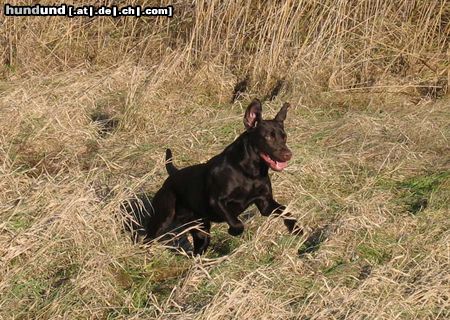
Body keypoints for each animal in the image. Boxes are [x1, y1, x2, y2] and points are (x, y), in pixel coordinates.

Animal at [123, 100, 300, 255]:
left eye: (284, 137)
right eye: (268, 137)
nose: (288, 154)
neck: (250, 173)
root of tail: (172, 175)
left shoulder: (265, 203)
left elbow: (286, 211)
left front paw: (296, 228)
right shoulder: (217, 200)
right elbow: (236, 222)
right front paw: (234, 230)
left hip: (200, 230)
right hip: (163, 217)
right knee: (148, 237)